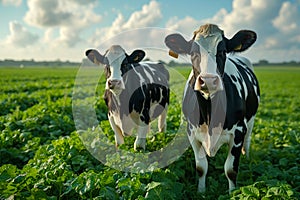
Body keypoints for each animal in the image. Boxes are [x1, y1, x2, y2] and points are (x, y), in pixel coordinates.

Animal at [164, 23, 260, 194]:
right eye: (193, 53)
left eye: (222, 51)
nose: (208, 80)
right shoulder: (192, 133)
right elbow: (201, 167)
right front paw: (201, 191)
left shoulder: (238, 131)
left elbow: (230, 169)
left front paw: (232, 193)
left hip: (251, 120)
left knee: (248, 139)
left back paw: (248, 157)